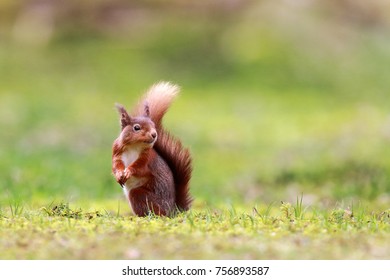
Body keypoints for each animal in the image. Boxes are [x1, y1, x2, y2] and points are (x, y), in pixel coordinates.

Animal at [111, 81, 192, 217]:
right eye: (136, 127)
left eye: (153, 125)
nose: (154, 134)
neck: (134, 146)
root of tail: (173, 210)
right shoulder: (117, 152)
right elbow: (116, 165)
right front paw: (119, 175)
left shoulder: (147, 158)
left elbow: (140, 168)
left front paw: (128, 172)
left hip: (141, 195)